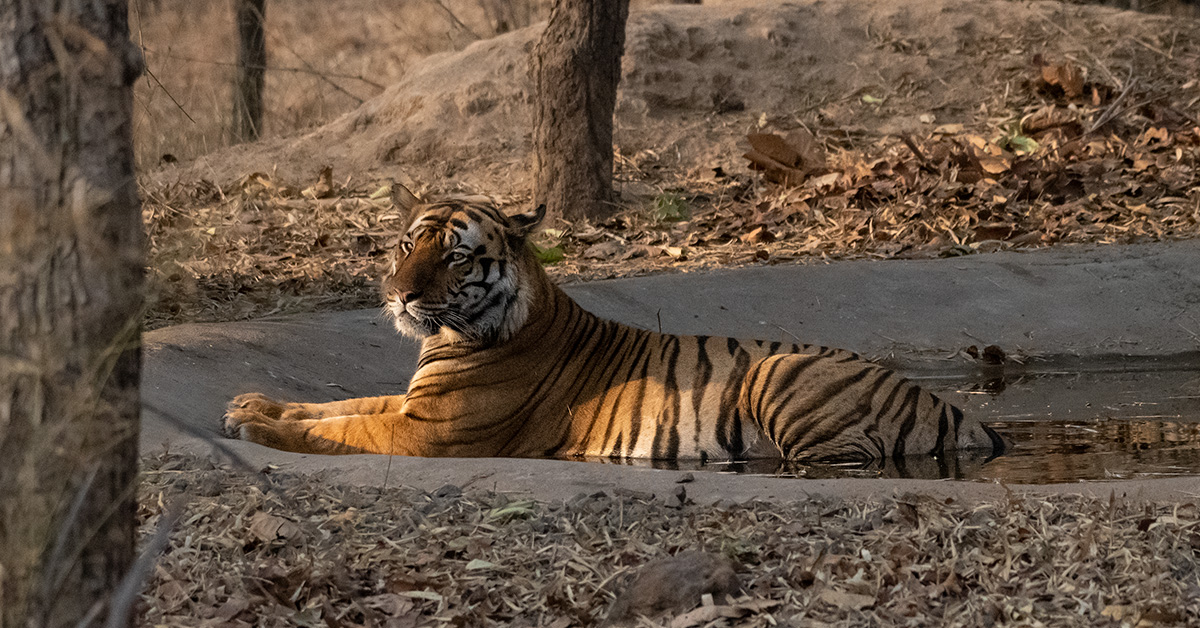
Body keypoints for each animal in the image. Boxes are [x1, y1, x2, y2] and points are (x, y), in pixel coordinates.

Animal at [223, 184, 1003, 463]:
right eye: (407, 245)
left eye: (455, 256)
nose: (399, 295)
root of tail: (944, 403)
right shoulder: (413, 403)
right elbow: (338, 404)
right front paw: (250, 403)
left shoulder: (430, 431)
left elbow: (343, 428)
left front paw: (258, 430)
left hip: (781, 376)